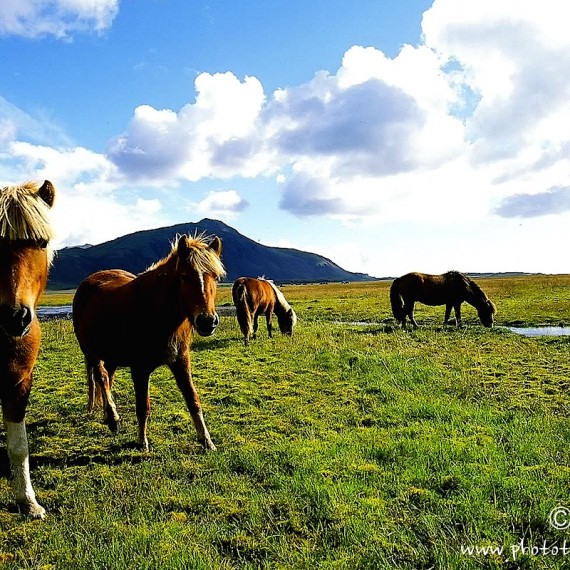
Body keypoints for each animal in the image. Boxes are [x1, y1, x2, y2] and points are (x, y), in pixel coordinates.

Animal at [74, 233, 225, 450]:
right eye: (184, 276)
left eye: (216, 277)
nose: (207, 321)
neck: (158, 312)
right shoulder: (140, 369)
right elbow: (142, 406)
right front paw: (142, 441)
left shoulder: (181, 361)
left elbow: (193, 399)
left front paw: (206, 440)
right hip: (91, 351)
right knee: (101, 377)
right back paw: (112, 418)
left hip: (111, 355)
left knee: (107, 377)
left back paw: (108, 415)